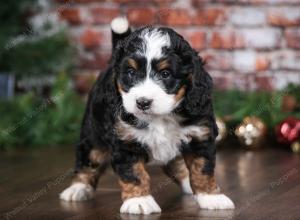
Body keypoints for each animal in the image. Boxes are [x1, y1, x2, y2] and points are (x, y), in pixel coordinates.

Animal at [60, 17, 234, 215]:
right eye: (130, 72)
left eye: (165, 74)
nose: (143, 102)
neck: (160, 117)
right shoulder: (125, 140)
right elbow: (134, 173)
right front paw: (139, 200)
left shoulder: (200, 135)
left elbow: (202, 168)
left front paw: (211, 197)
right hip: (93, 133)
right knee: (88, 160)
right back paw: (78, 188)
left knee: (175, 163)